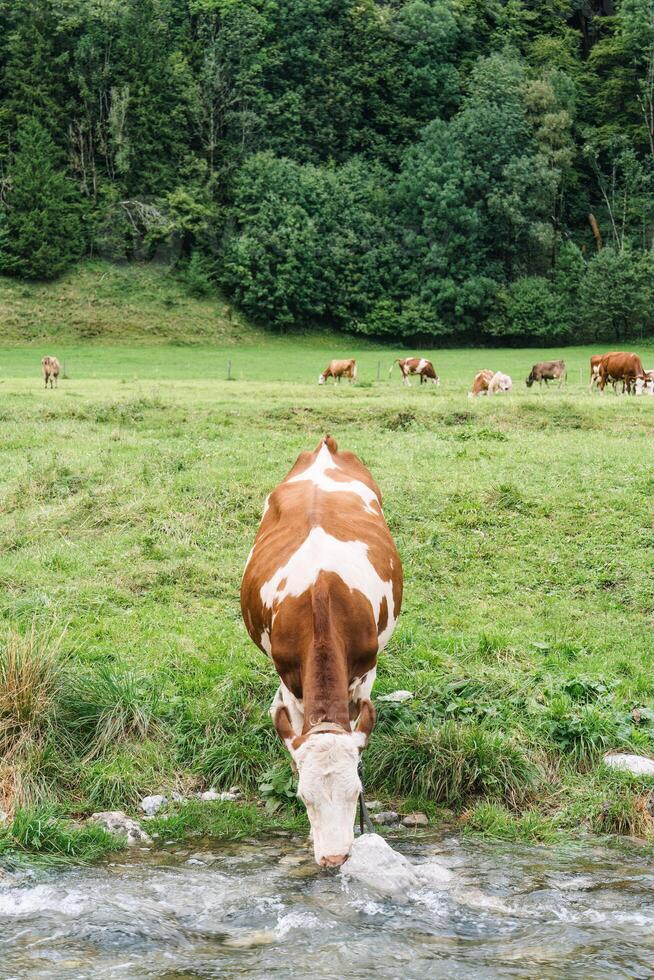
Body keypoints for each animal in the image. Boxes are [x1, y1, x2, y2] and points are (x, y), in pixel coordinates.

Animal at [242, 434, 404, 864]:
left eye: (356, 792)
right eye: (304, 798)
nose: (334, 858)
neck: (322, 599)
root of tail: (325, 448)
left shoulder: (365, 671)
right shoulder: (291, 680)